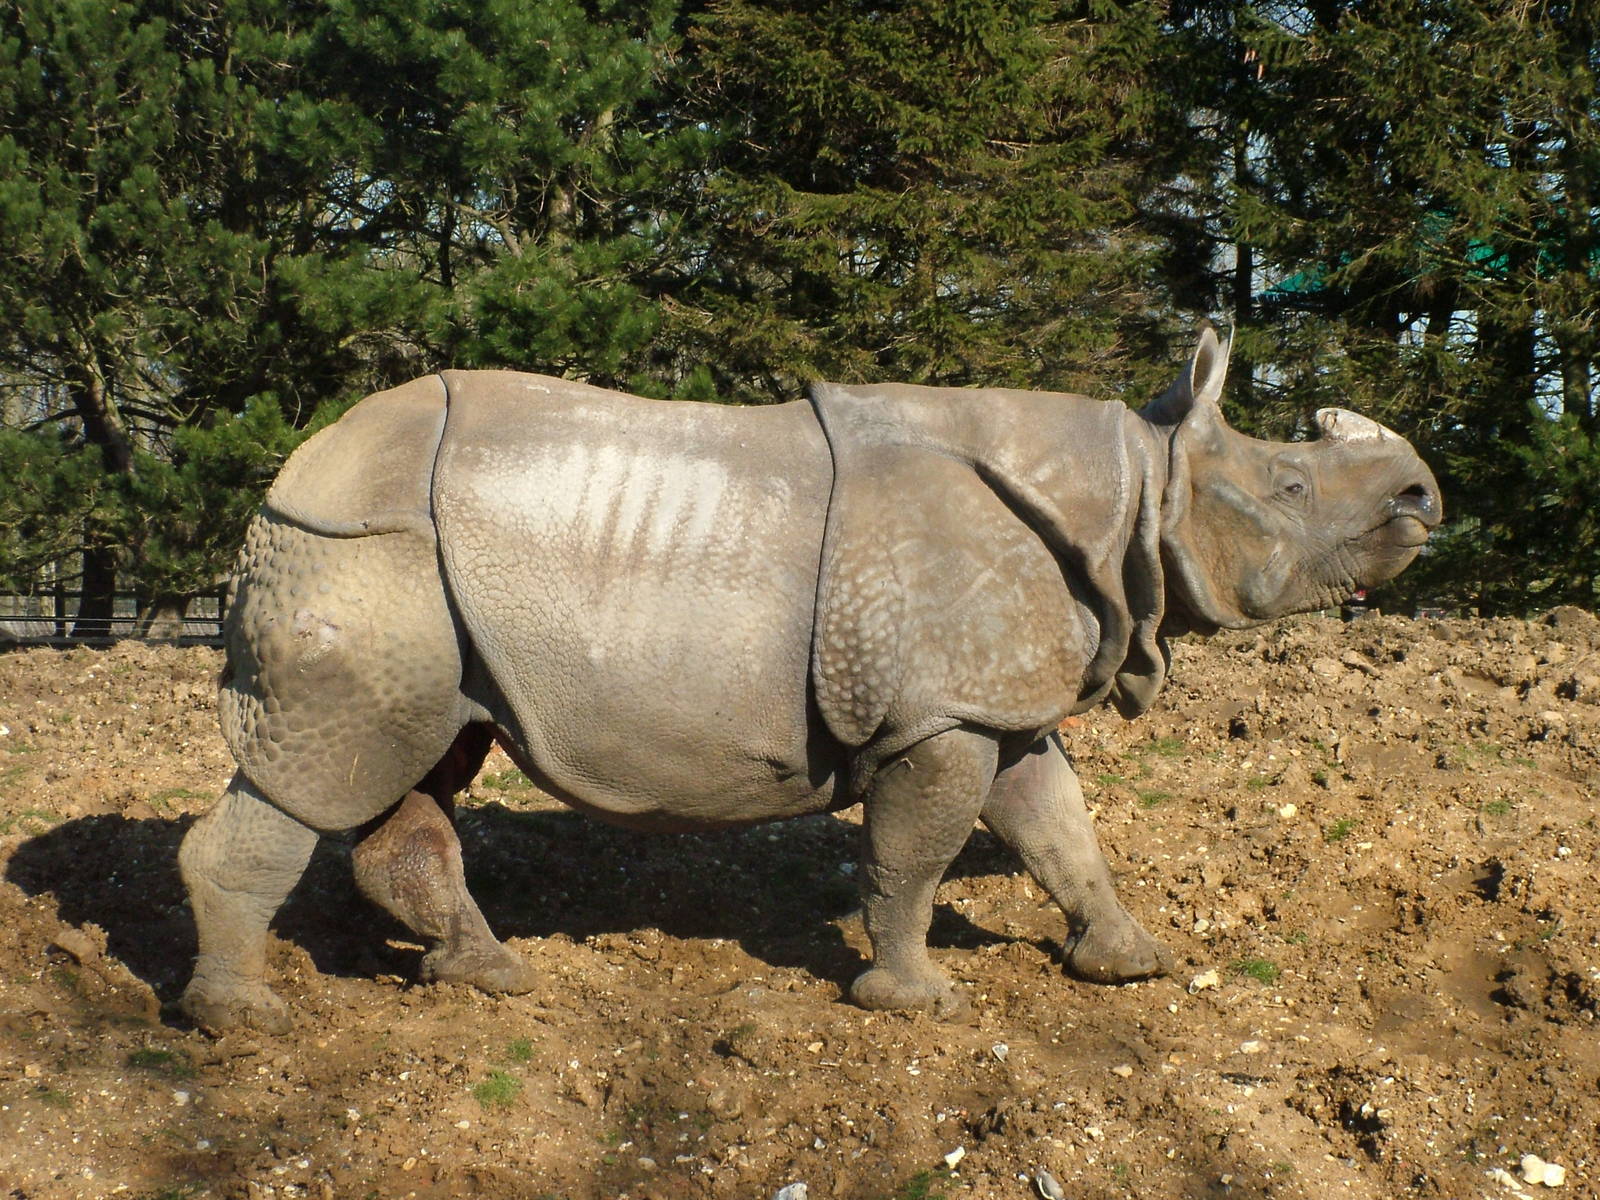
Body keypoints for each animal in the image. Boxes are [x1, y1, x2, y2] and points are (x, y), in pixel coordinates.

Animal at [178, 328, 1441, 1032]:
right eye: (1289, 488)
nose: (1424, 498)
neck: (1136, 482)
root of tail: (298, 464)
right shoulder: (937, 710)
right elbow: (915, 851)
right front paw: (914, 1005)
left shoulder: (990, 694)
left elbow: (1057, 827)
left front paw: (1131, 966)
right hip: (365, 546)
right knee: (320, 775)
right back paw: (242, 1025)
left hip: (417, 568)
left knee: (416, 765)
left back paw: (488, 980)